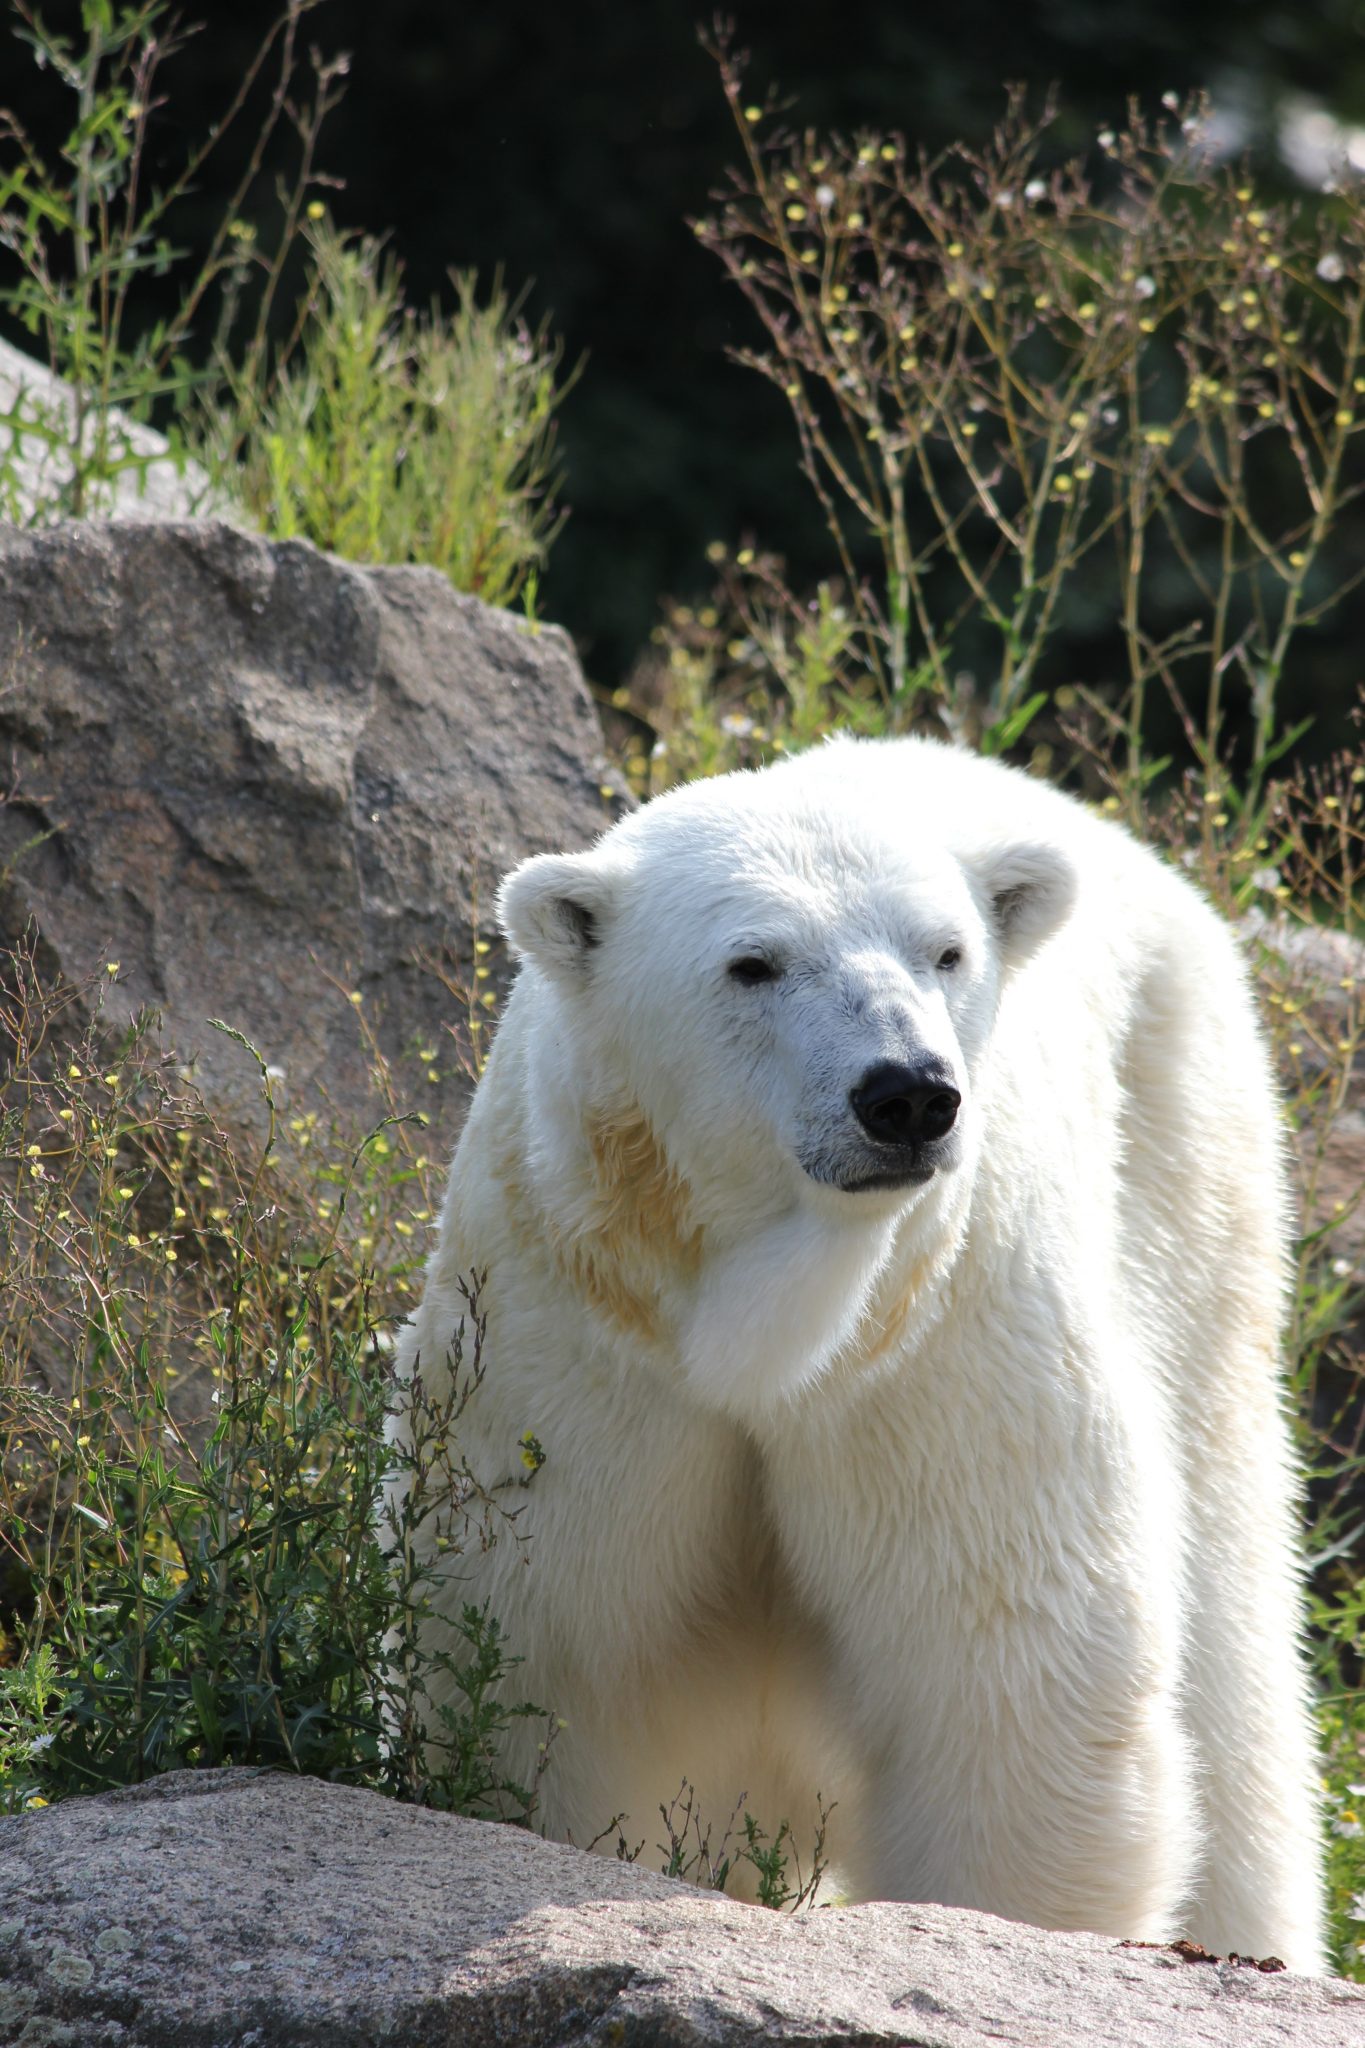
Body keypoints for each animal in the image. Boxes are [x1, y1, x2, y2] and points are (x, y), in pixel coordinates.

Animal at [388, 733, 1326, 1966]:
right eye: (753, 963)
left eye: (946, 950)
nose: (909, 1095)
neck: (767, 1321)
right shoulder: (574, 1338)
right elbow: (548, 1646)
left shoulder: (933, 1346)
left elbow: (1002, 1661)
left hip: (1186, 1163)